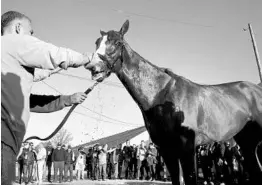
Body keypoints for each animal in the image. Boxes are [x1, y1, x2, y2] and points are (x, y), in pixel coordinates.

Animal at [86, 19, 262, 184]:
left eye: (117, 43)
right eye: (97, 42)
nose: (93, 67)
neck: (161, 95)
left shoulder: (187, 149)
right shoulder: (166, 150)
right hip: (247, 142)